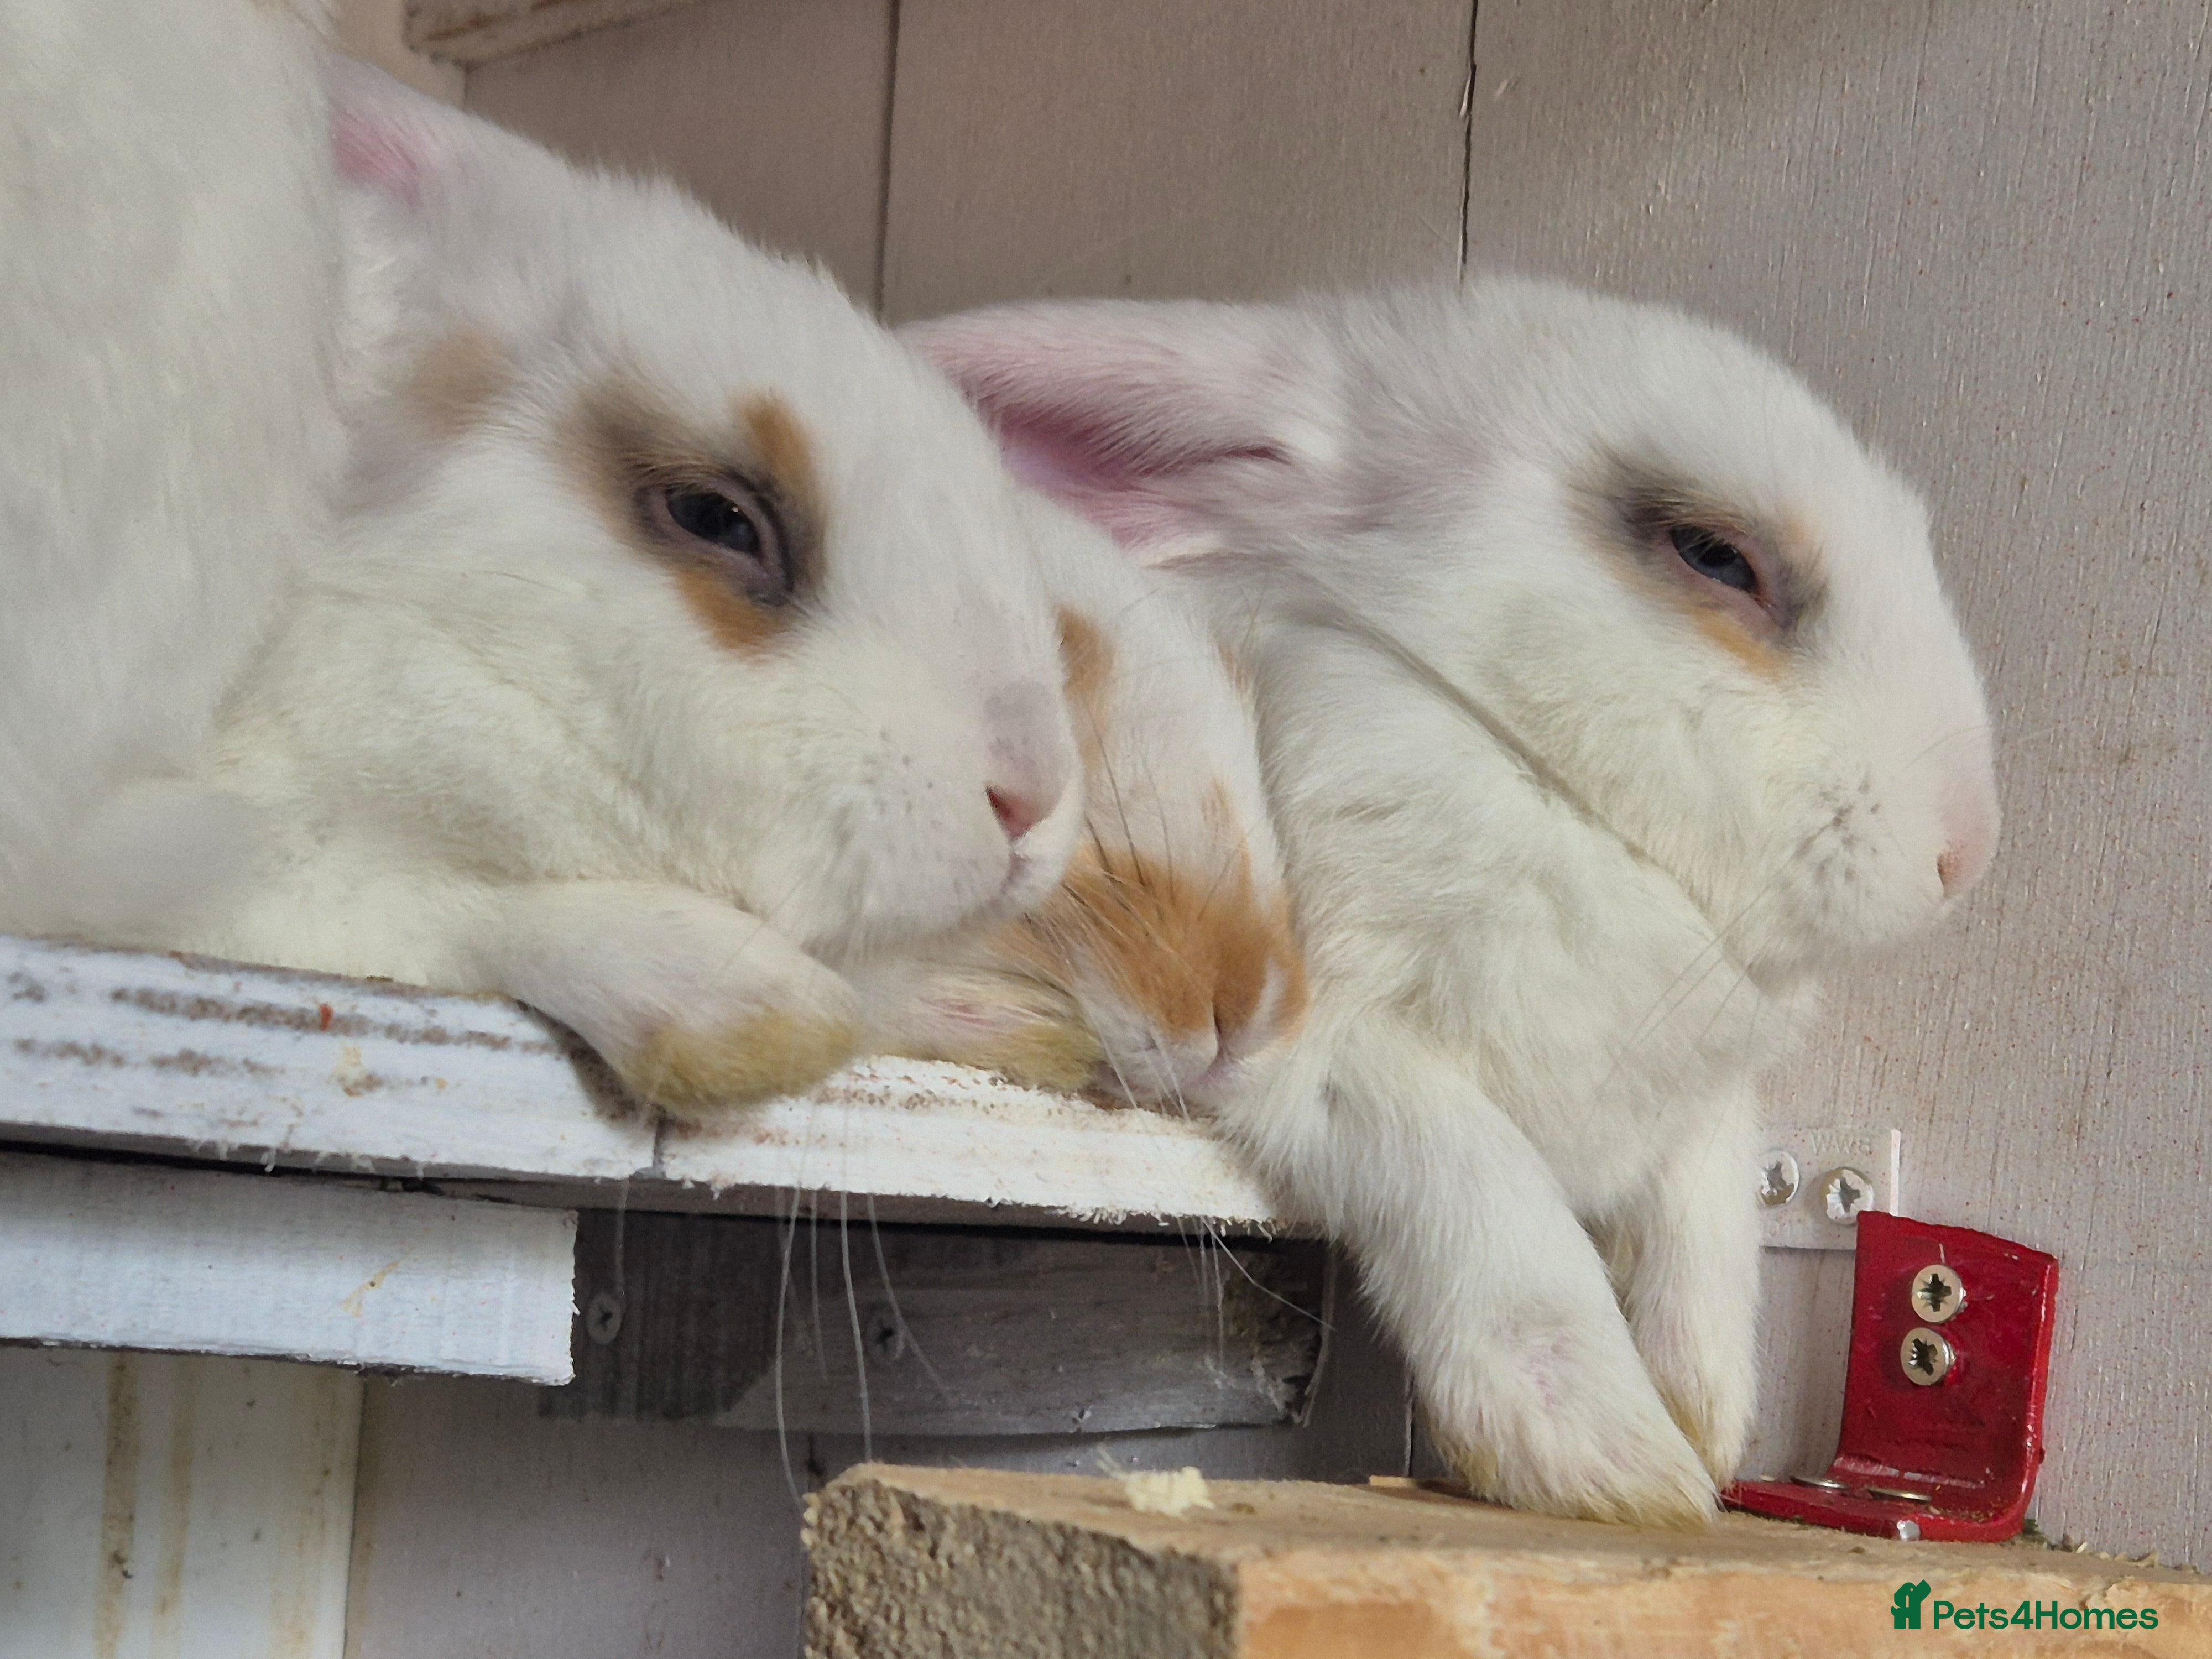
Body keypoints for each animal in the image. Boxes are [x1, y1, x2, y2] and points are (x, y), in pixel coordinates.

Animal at [906, 279, 2001, 1526]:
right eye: (1715, 555)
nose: (1966, 850)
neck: (1539, 793)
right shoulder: (1329, 1045)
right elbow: (1492, 1197)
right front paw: (1614, 1460)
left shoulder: (1704, 1102)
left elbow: (1706, 1229)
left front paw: (1707, 1420)